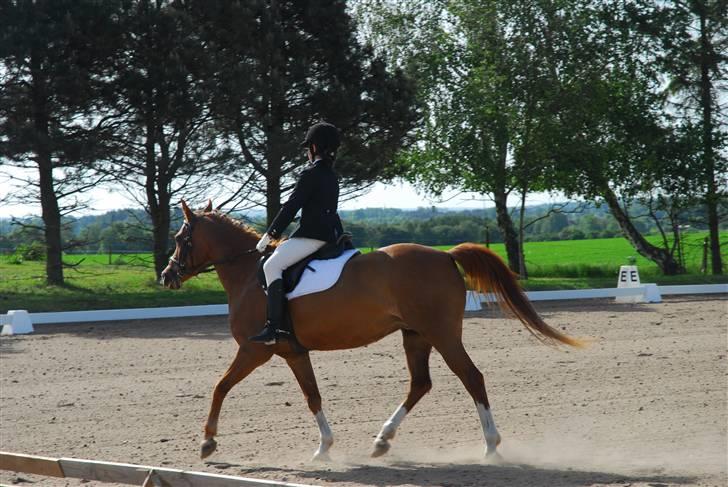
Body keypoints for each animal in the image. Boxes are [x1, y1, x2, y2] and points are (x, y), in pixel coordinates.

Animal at [160, 199, 583, 462]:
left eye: (181, 239)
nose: (167, 276)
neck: (250, 275)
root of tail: (445, 256)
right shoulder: (294, 352)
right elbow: (312, 396)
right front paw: (324, 448)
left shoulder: (255, 349)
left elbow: (220, 386)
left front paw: (207, 442)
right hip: (416, 335)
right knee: (420, 383)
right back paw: (382, 440)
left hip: (442, 334)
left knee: (471, 377)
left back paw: (491, 446)